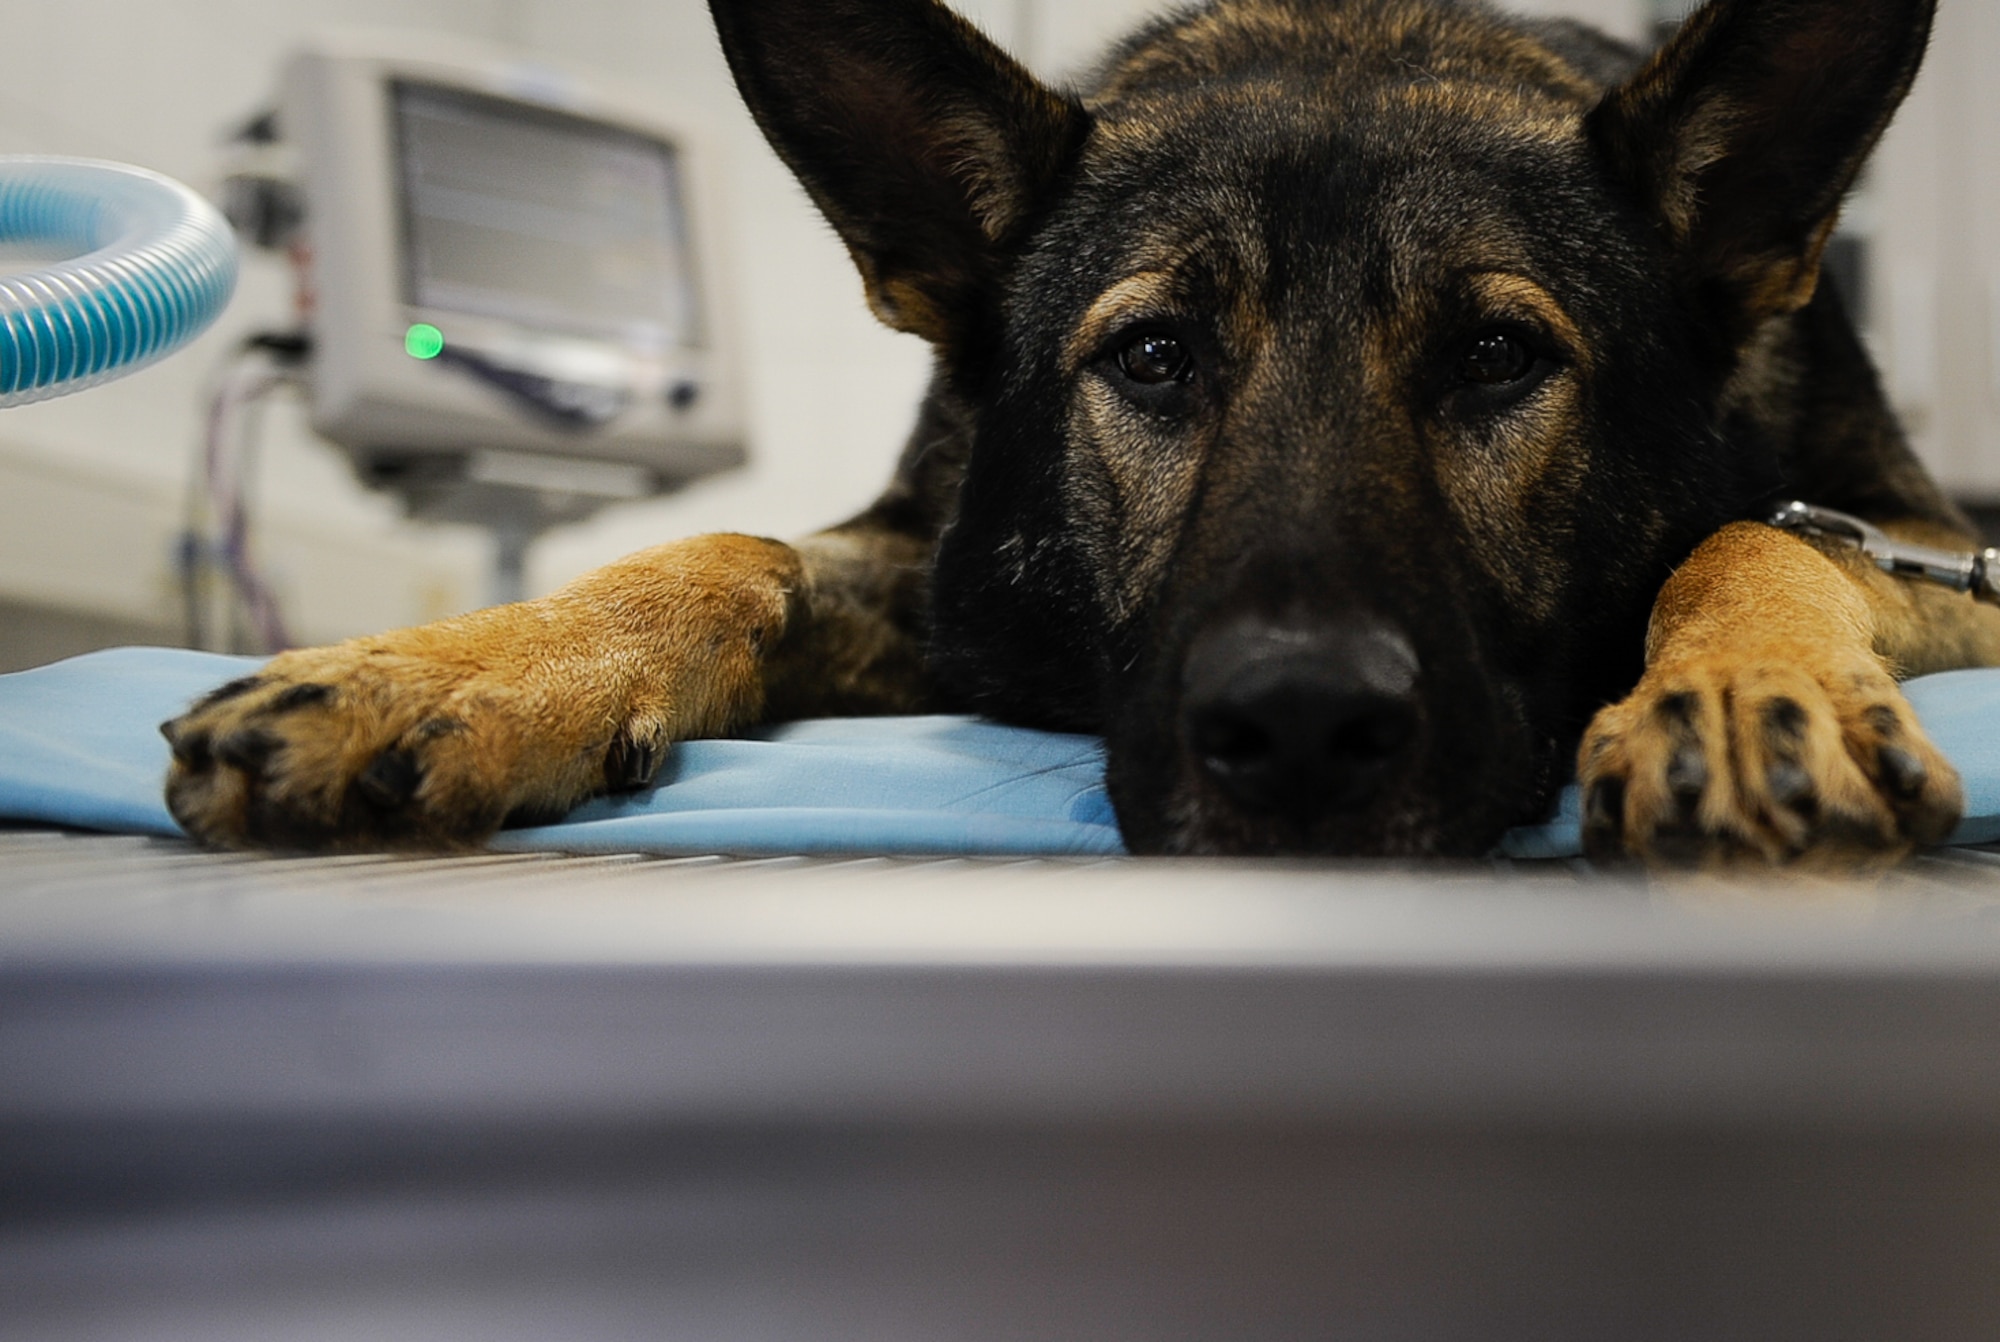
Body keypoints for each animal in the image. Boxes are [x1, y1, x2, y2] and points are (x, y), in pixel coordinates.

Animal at [160, 0, 2000, 872]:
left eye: (1496, 356)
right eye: (1157, 356)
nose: (1303, 729)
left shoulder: (1944, 543)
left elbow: (1760, 527)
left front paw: (1747, 685)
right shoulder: (945, 565)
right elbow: (731, 542)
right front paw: (474, 662)